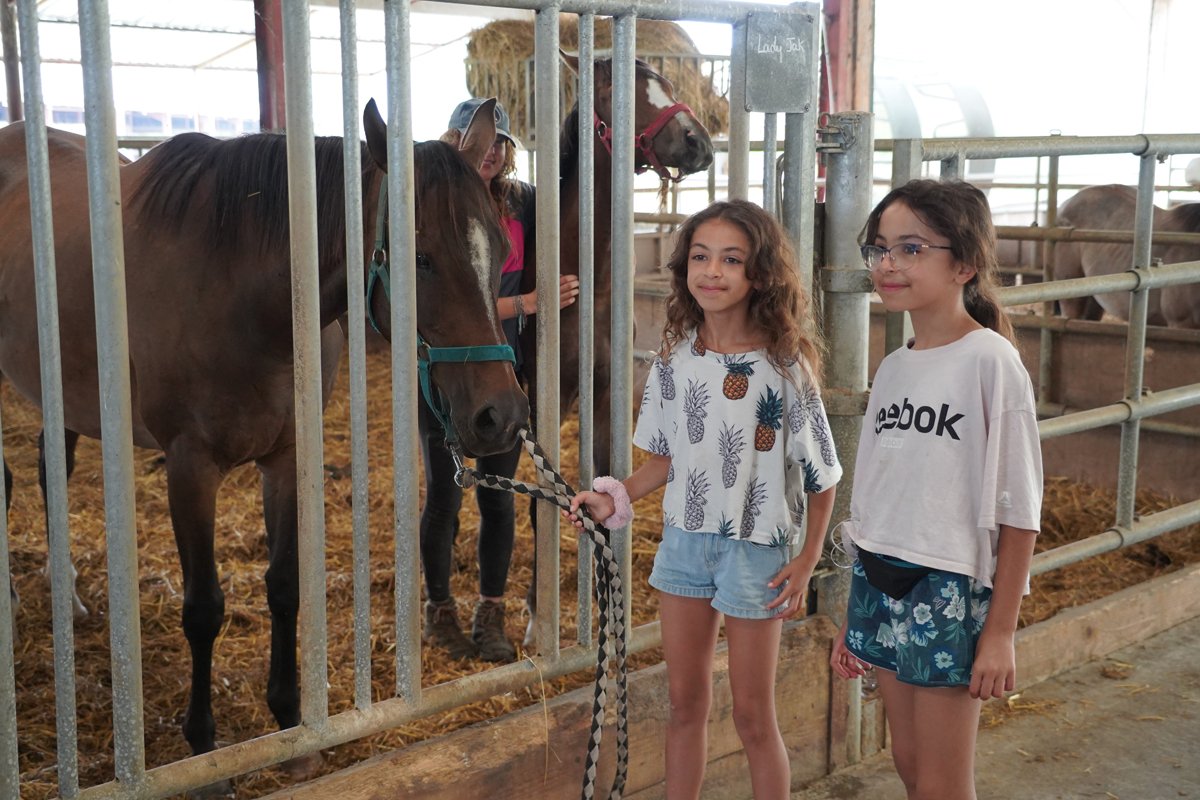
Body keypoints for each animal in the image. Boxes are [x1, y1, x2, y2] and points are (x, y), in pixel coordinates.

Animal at [0, 97, 528, 789]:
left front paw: (291, 723)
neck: (243, 291)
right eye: (420, 256)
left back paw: (71, 599)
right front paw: (205, 752)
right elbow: (203, 609)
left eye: (500, 247)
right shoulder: (190, 468)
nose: (504, 417)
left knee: (48, 469)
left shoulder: (287, 458)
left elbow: (284, 586)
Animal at [518, 53, 713, 645]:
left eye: (667, 83)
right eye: (614, 91)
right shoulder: (539, 402)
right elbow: (541, 502)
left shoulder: (605, 394)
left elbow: (601, 487)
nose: (699, 143)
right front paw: (536, 614)